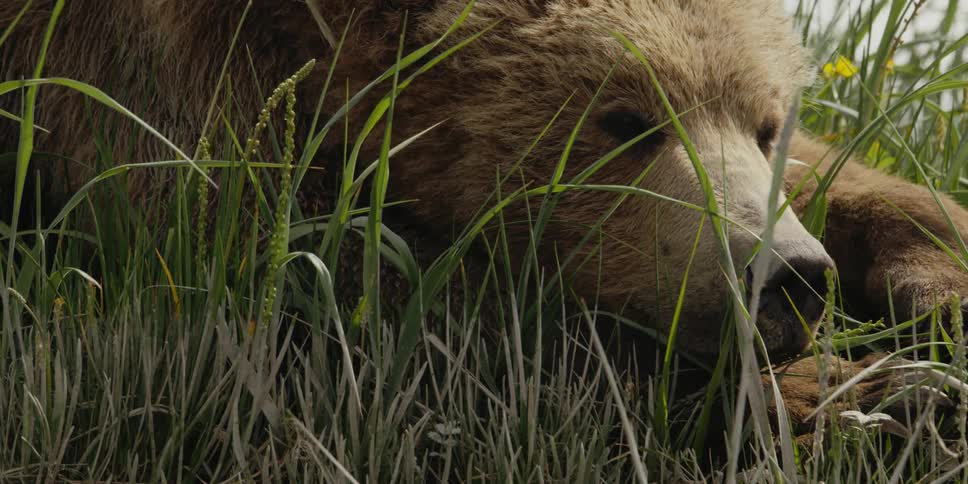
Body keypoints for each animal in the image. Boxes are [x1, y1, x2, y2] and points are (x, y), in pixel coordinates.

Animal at [2, 0, 966, 432]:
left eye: (766, 124)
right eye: (624, 119)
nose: (788, 275)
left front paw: (936, 302)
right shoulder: (152, 92)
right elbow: (338, 303)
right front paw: (867, 389)